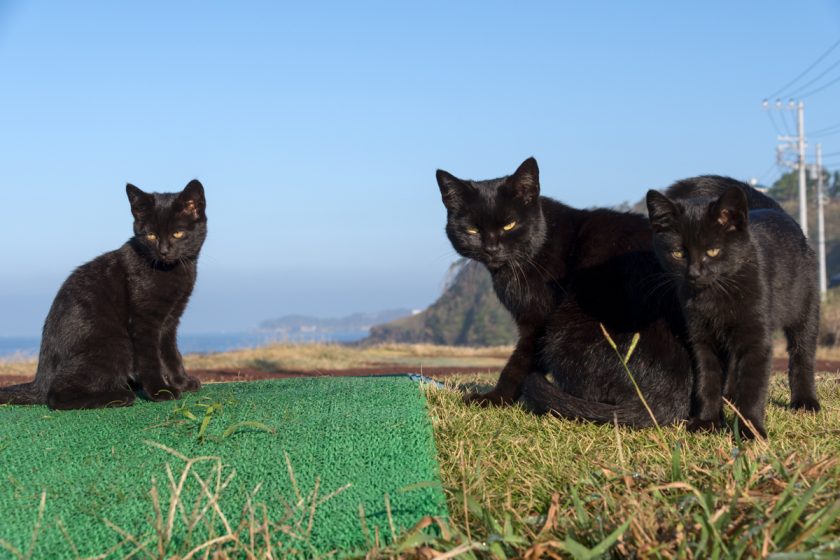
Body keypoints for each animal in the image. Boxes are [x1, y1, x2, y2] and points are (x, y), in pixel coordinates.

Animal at [0, 182, 207, 410]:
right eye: (151, 236)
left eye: (178, 233)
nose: (163, 251)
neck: (171, 271)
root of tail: (40, 381)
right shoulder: (144, 321)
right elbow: (151, 358)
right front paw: (160, 391)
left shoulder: (170, 320)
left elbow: (171, 353)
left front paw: (182, 382)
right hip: (118, 344)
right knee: (56, 396)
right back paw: (121, 396)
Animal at [648, 182, 816, 440]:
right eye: (678, 253)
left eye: (713, 251)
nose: (694, 273)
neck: (715, 296)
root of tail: (775, 210)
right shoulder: (702, 338)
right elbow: (707, 381)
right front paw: (706, 422)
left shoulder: (757, 337)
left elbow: (753, 386)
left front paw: (750, 430)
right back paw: (729, 396)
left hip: (805, 308)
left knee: (802, 352)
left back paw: (805, 402)